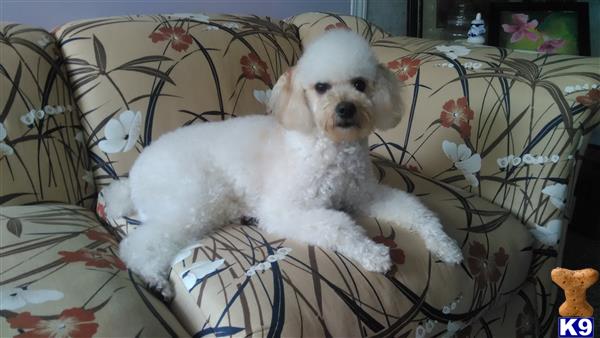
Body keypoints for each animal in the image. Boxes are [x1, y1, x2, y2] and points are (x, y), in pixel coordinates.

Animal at [103, 30, 462, 298]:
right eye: (321, 88)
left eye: (360, 84)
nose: (346, 109)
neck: (331, 148)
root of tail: (133, 176)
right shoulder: (286, 210)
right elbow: (339, 225)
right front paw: (374, 253)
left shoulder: (365, 196)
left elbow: (415, 210)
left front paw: (445, 245)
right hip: (192, 201)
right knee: (139, 244)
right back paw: (154, 279)